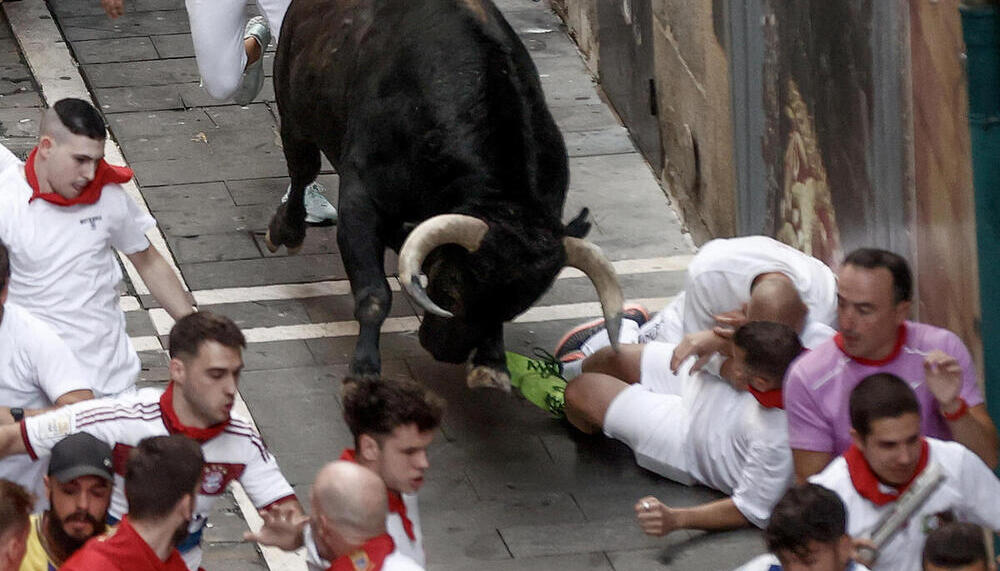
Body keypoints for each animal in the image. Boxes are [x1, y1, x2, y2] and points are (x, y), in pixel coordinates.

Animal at [266, 0, 624, 388]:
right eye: (453, 288)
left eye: (518, 306)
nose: (446, 352)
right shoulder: (361, 203)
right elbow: (374, 293)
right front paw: (364, 369)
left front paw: (491, 365)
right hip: (293, 114)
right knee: (302, 171)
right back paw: (287, 231)